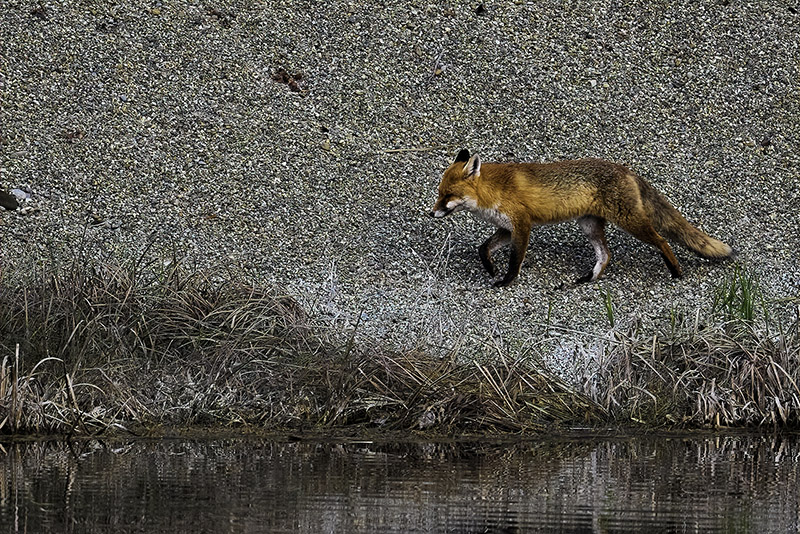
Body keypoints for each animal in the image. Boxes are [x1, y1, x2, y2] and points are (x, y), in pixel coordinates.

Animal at [429, 149, 735, 287]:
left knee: (662, 240)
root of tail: (626, 170)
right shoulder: (507, 228)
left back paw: (675, 270)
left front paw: (505, 281)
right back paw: (590, 277)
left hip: (630, 222)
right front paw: (491, 269)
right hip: (589, 226)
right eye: (439, 193)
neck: (493, 191)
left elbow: (515, 260)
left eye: (447, 195)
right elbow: (483, 248)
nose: (431, 213)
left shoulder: (522, 225)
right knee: (606, 254)